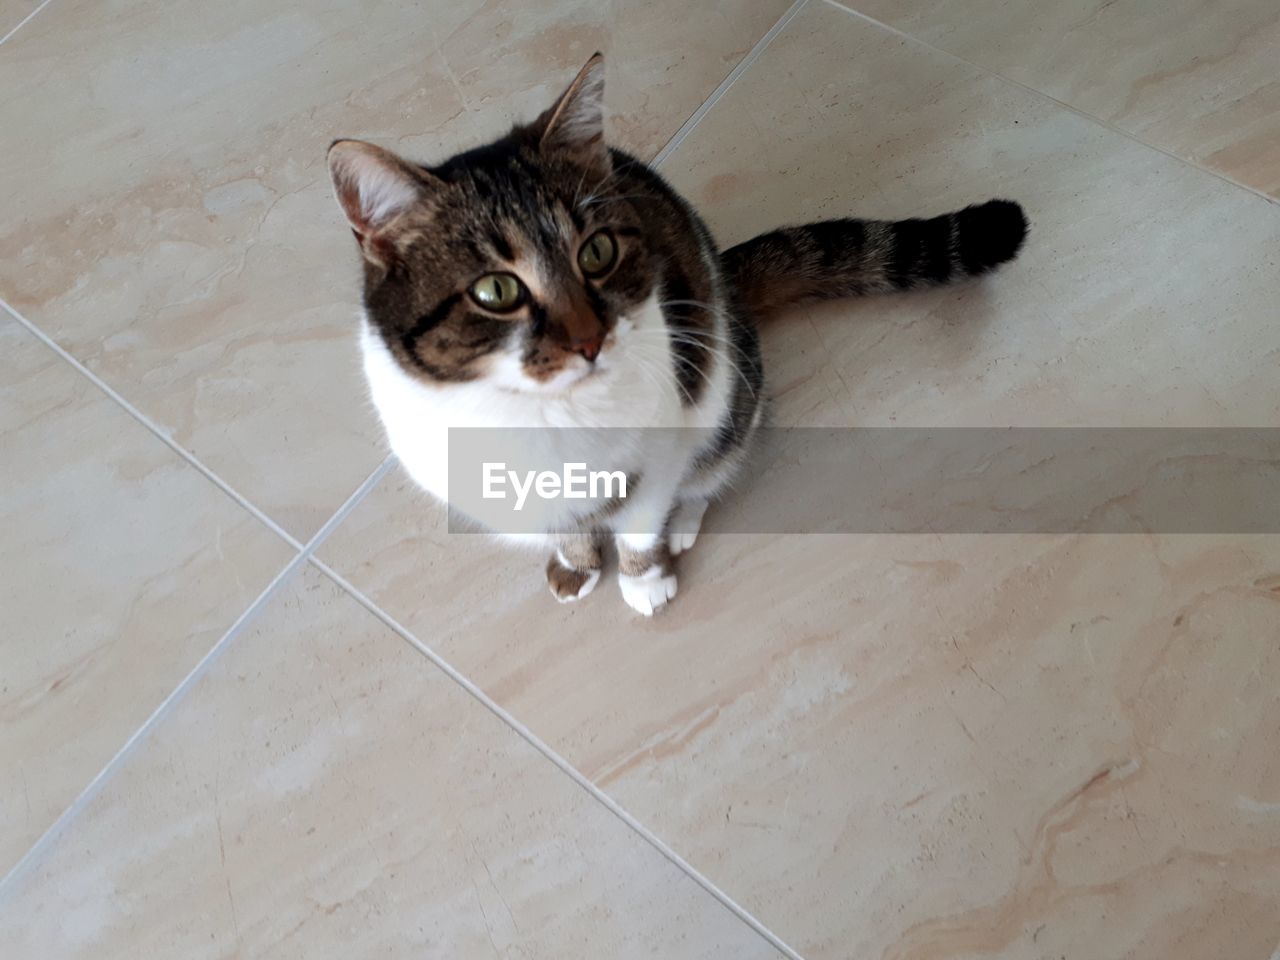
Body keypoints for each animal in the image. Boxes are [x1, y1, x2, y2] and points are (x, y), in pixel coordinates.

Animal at [325, 52, 1024, 616]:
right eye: (496, 291)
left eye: (597, 252)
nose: (590, 340)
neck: (547, 413)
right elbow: (569, 529)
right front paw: (576, 564)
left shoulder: (660, 448)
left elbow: (641, 524)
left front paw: (643, 580)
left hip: (727, 390)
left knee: (710, 464)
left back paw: (685, 518)